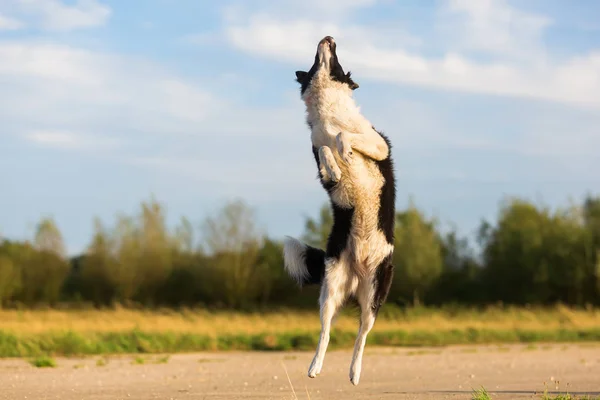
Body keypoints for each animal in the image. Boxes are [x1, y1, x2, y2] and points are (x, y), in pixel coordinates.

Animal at [284, 36, 396, 386]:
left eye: (335, 58)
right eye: (319, 58)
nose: (330, 37)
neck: (330, 114)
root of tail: (358, 271)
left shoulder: (379, 145)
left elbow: (347, 136)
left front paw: (344, 150)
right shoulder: (315, 147)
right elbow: (324, 147)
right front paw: (335, 166)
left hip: (374, 296)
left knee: (362, 336)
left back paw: (354, 372)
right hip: (330, 290)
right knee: (326, 332)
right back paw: (314, 367)